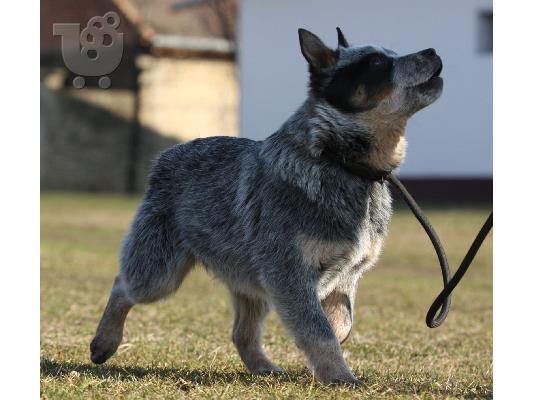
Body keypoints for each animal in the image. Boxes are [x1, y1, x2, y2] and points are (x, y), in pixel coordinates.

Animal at [91, 27, 444, 384]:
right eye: (376, 62)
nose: (432, 52)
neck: (341, 163)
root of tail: (167, 155)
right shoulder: (288, 272)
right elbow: (319, 331)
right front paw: (339, 375)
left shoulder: (347, 275)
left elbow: (340, 324)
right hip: (159, 271)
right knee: (123, 285)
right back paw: (104, 342)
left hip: (251, 283)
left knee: (241, 333)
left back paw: (263, 367)